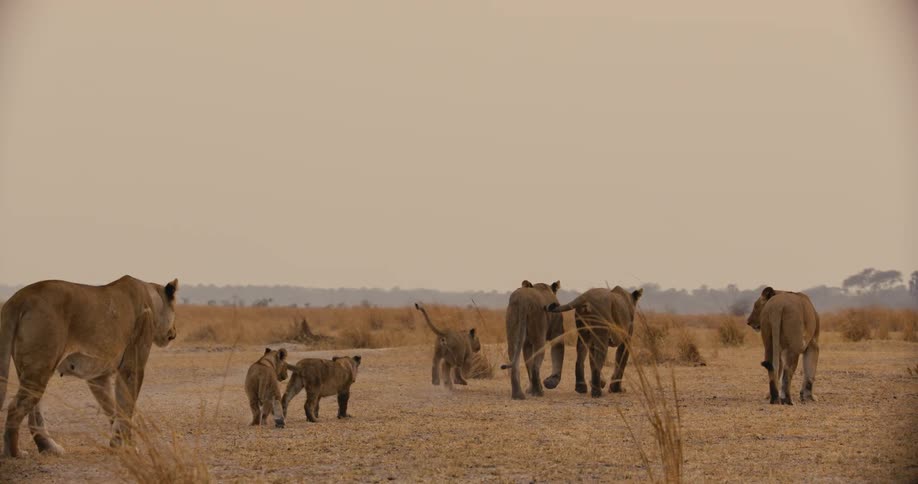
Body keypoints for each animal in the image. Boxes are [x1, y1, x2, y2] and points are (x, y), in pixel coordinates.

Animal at [0, 275, 178, 458]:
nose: (174, 332)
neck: (153, 299)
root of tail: (18, 298)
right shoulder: (132, 365)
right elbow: (126, 407)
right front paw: (130, 447)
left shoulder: (97, 376)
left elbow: (112, 407)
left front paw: (117, 444)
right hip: (40, 366)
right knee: (15, 407)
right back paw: (14, 453)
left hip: (33, 369)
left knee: (34, 411)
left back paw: (49, 447)